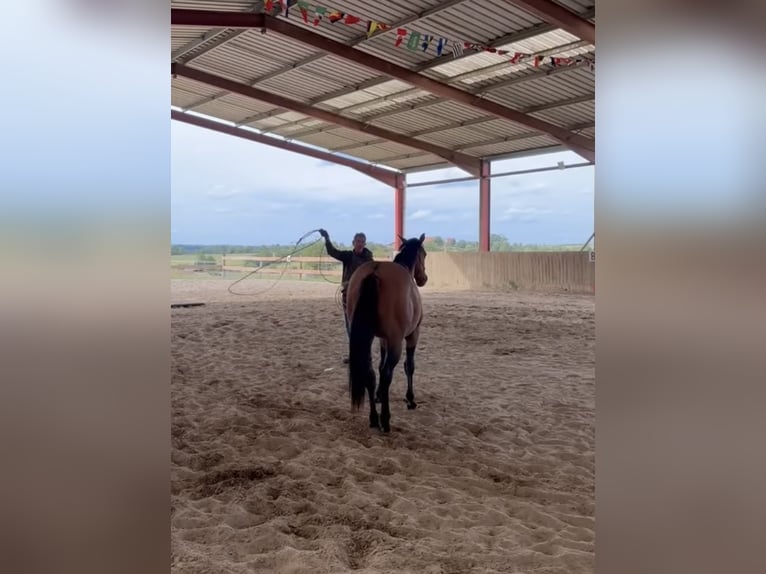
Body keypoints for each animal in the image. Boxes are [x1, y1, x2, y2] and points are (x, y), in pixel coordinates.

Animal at [345, 233, 428, 433]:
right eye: (424, 254)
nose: (423, 278)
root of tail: (375, 271)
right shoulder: (412, 334)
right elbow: (409, 365)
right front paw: (410, 399)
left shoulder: (383, 339)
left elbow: (380, 362)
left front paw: (378, 396)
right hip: (397, 342)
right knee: (386, 374)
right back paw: (385, 419)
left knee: (370, 373)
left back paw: (374, 418)